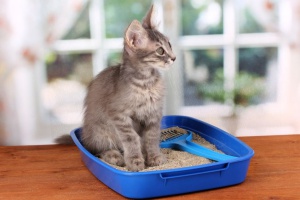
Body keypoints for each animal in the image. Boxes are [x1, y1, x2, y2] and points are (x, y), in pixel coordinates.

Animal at [56, 5, 176, 172]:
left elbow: (151, 137)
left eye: (169, 45)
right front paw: (135, 162)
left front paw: (154, 157)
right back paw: (114, 156)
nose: (174, 58)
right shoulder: (119, 115)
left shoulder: (153, 114)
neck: (146, 83)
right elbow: (131, 138)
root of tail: (85, 137)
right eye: (160, 51)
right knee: (98, 149)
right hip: (101, 131)